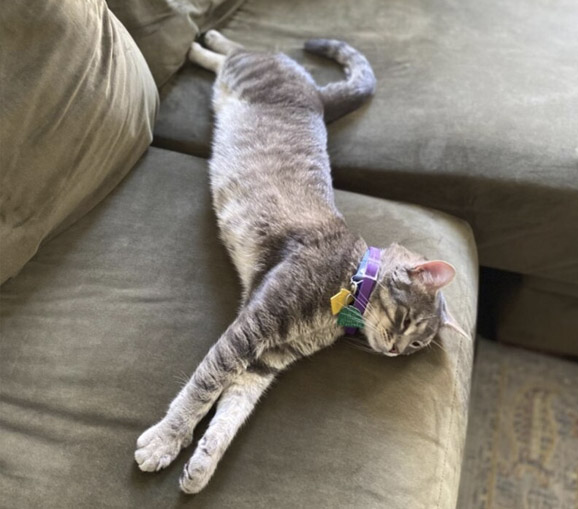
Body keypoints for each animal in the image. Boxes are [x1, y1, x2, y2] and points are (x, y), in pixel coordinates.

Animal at [135, 30, 468, 494]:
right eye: (406, 322)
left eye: (418, 345)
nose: (397, 351)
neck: (348, 282)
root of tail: (316, 96)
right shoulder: (250, 328)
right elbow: (203, 385)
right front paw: (166, 439)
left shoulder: (267, 358)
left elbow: (232, 412)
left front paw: (202, 464)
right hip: (249, 70)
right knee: (239, 51)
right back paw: (204, 41)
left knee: (228, 60)